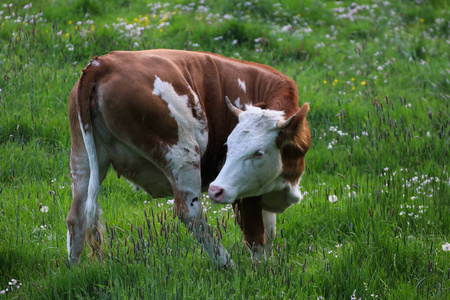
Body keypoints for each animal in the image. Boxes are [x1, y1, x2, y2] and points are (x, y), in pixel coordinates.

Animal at [67, 48, 312, 266]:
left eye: (259, 152)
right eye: (228, 146)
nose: (216, 189)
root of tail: (102, 64)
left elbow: (269, 232)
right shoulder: (246, 194)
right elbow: (256, 238)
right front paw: (260, 272)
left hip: (82, 160)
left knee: (76, 218)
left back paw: (74, 271)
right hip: (181, 154)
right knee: (189, 214)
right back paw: (226, 263)